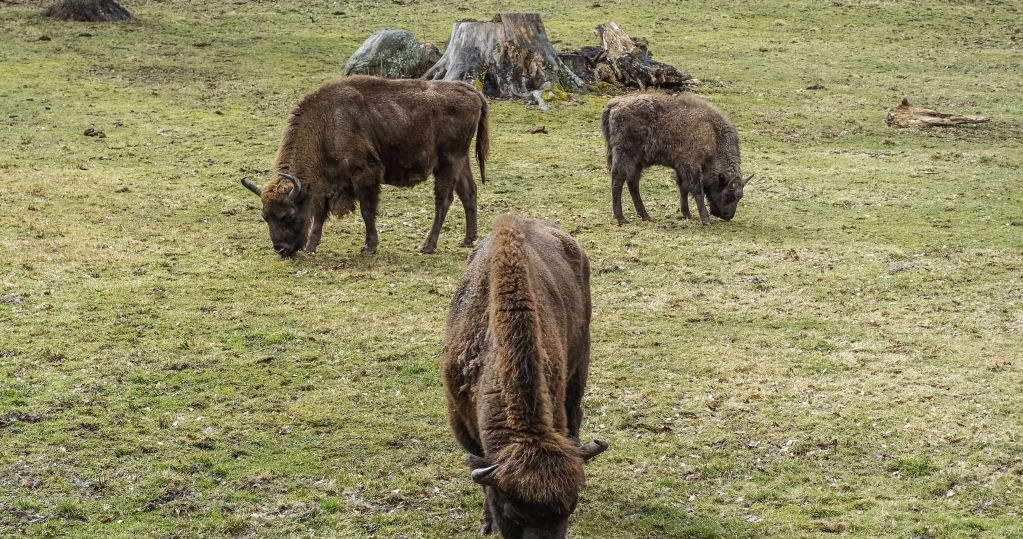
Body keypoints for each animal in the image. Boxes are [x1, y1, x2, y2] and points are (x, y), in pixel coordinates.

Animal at [243, 74, 491, 257]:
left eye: (288, 216)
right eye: (265, 217)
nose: (281, 250)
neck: (326, 124)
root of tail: (473, 92)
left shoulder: (365, 174)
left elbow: (367, 211)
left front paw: (369, 247)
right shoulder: (325, 184)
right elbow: (320, 214)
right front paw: (312, 247)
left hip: (448, 162)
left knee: (444, 200)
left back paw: (428, 246)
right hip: (461, 161)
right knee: (469, 193)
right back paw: (468, 240)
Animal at [597, 92, 752, 226]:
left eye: (740, 196)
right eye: (729, 195)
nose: (728, 216)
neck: (713, 135)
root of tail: (615, 104)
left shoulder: (680, 167)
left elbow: (683, 188)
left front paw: (687, 214)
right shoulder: (691, 165)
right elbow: (697, 190)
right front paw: (706, 219)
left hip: (637, 162)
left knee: (632, 183)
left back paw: (645, 216)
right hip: (626, 155)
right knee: (618, 179)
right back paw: (621, 218)